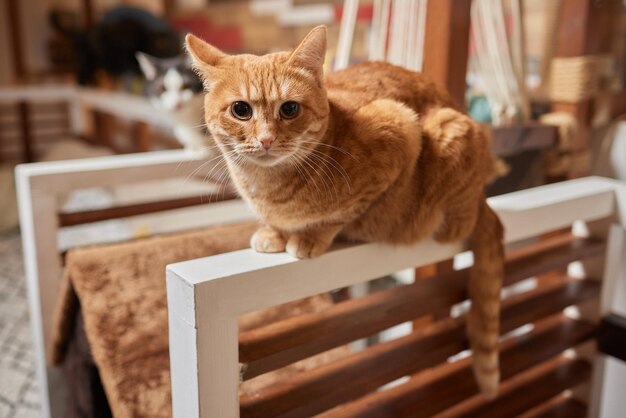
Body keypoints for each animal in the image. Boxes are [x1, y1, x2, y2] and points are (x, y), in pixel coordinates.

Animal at [185, 25, 502, 398]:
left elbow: (340, 216)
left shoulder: (397, 130)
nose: (265, 140)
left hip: (451, 134)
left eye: (289, 109)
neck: (269, 188)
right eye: (240, 109)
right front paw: (273, 232)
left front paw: (309, 237)